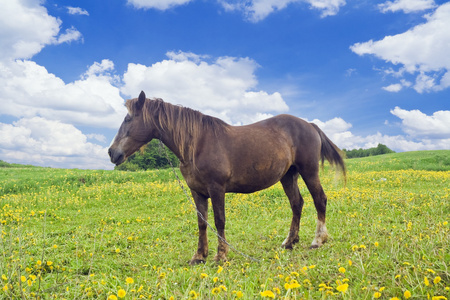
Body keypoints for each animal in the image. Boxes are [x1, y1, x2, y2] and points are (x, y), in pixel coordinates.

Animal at [108, 91, 344, 264]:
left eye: (128, 118)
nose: (112, 153)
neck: (197, 144)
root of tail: (309, 125)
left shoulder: (216, 188)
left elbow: (219, 220)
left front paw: (220, 255)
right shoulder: (197, 192)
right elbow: (202, 223)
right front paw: (199, 256)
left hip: (309, 171)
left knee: (319, 200)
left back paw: (317, 240)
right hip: (288, 176)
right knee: (297, 204)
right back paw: (289, 242)